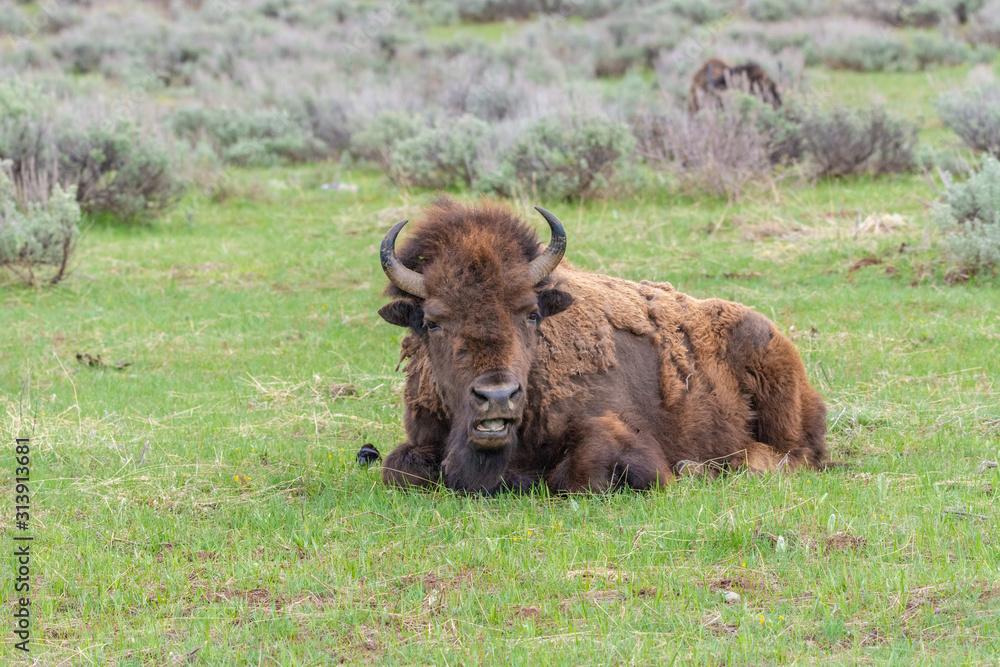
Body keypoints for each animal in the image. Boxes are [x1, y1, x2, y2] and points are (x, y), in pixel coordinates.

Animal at [377, 198, 826, 494]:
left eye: (530, 313)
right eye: (433, 321)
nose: (498, 397)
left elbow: (580, 475)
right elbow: (398, 468)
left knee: (793, 456)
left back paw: (701, 468)